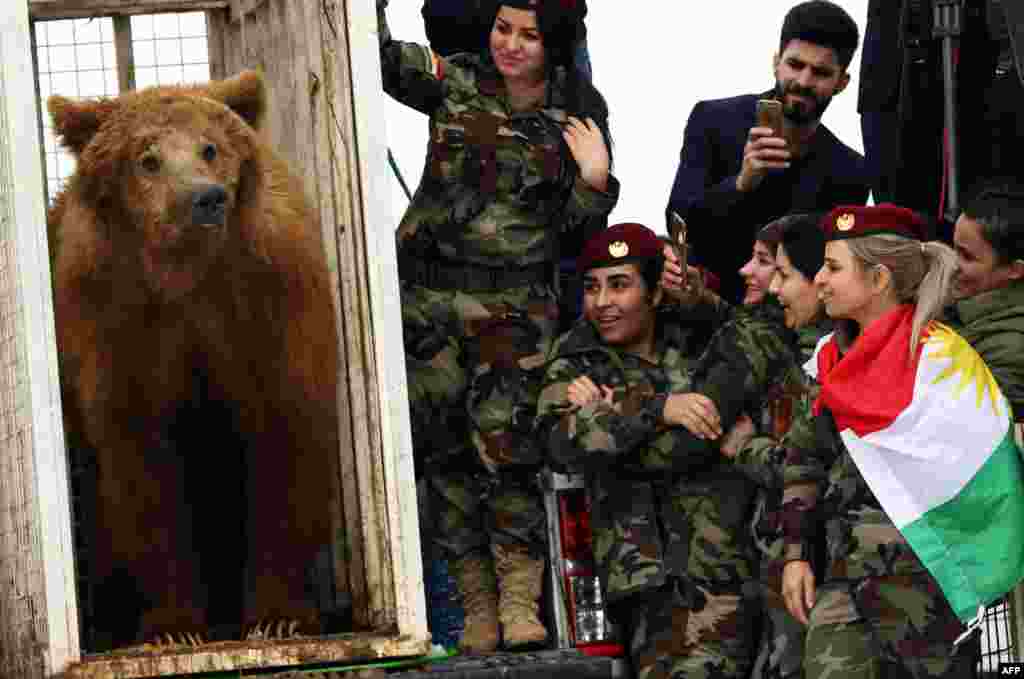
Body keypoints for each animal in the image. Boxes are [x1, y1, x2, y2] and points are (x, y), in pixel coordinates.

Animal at [47, 69, 339, 647]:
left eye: (211, 146)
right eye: (147, 157)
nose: (205, 198)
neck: (187, 275)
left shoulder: (269, 307)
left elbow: (286, 440)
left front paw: (279, 615)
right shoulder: (117, 325)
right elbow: (142, 466)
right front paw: (173, 627)